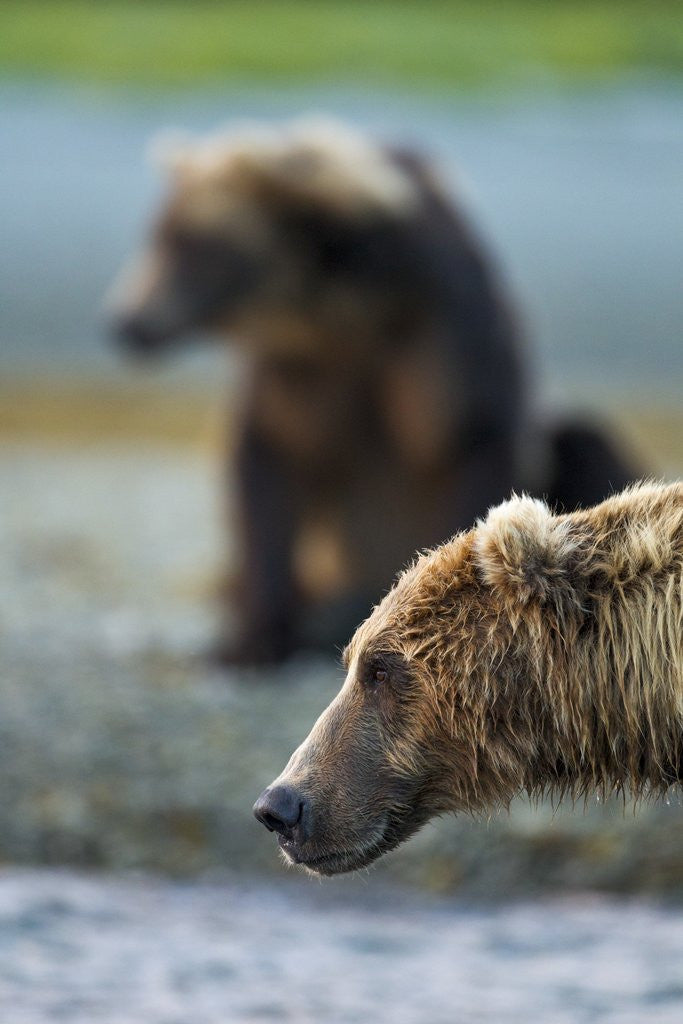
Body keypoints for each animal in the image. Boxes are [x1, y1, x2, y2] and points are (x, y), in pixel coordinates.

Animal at [108, 118, 635, 664]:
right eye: (157, 233)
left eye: (191, 242)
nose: (125, 322)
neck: (346, 311)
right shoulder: (297, 370)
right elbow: (269, 470)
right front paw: (248, 642)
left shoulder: (440, 336)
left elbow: (470, 438)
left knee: (584, 441)